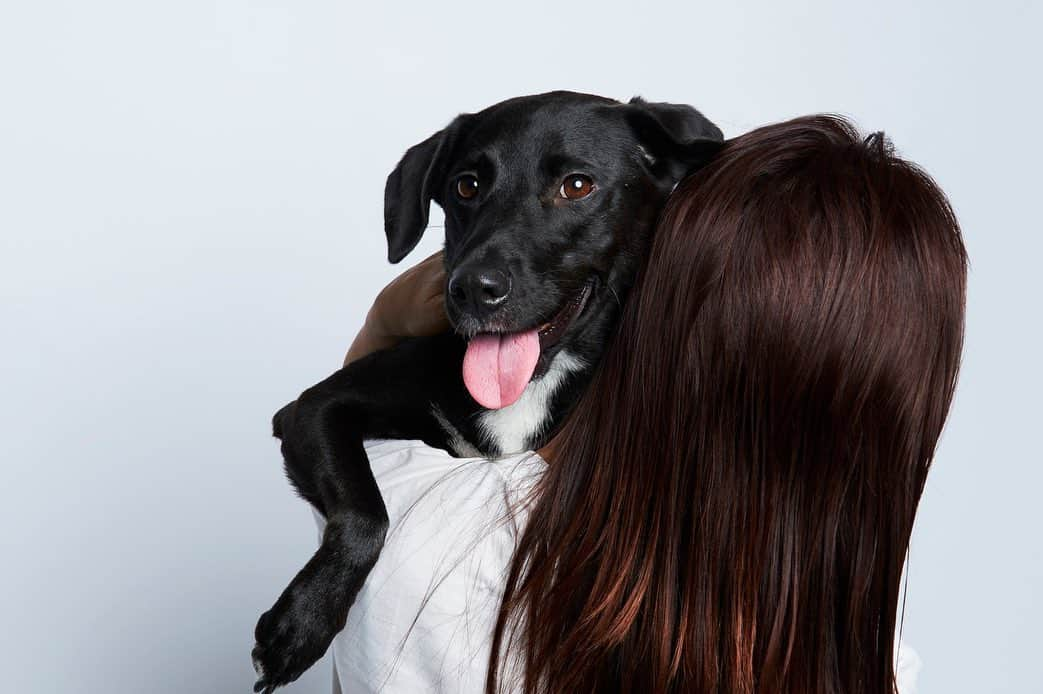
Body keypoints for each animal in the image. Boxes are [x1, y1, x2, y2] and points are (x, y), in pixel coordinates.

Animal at [250, 90, 717, 688]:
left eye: (577, 186)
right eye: (466, 186)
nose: (472, 287)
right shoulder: (312, 409)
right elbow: (364, 511)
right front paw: (302, 624)